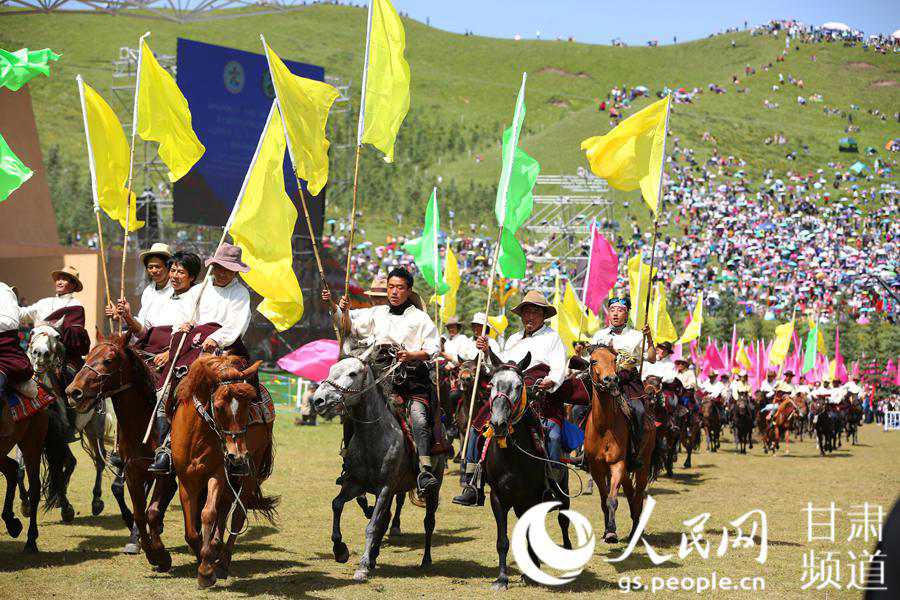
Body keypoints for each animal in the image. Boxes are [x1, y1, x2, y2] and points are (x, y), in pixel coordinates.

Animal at [66, 332, 177, 568]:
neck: (144, 425)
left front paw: (160, 555)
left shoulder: (165, 473)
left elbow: (152, 511)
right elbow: (140, 513)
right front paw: (147, 548)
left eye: (108, 360)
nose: (73, 392)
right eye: (88, 355)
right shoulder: (134, 470)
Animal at [171, 354, 278, 588]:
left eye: (247, 406)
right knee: (226, 506)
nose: (237, 455)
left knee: (237, 514)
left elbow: (208, 513)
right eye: (219, 407)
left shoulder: (218, 473)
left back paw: (222, 562)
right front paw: (203, 557)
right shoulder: (186, 480)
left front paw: (206, 570)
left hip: (249, 471)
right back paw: (215, 548)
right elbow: (191, 531)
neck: (197, 435)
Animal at [312, 356, 446, 580]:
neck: (373, 437)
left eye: (353, 373)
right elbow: (337, 504)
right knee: (387, 518)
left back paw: (425, 560)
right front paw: (340, 550)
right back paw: (374, 556)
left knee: (429, 521)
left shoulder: (384, 489)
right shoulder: (355, 484)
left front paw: (363, 566)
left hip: (433, 487)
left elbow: (372, 526)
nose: (318, 400)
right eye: (331, 369)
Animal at [482, 354, 572, 588]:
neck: (512, 456)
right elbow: (503, 541)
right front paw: (502, 578)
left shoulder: (534, 498)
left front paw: (532, 573)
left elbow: (532, 534)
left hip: (561, 492)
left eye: (518, 386)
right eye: (491, 385)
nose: (498, 424)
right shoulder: (498, 498)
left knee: (564, 519)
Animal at [584, 342, 652, 544]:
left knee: (638, 495)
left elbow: (612, 499)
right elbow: (603, 499)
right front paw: (608, 531)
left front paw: (612, 532)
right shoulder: (597, 468)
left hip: (642, 466)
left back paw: (635, 531)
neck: (604, 426)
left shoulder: (617, 464)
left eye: (614, 359)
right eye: (593, 360)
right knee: (630, 493)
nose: (611, 380)